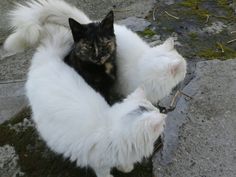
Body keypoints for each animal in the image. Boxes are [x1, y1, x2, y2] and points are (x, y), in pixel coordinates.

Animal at [26, 24, 165, 177]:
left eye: (156, 108)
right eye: (162, 124)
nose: (163, 113)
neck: (110, 132)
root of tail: (48, 59)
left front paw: (126, 167)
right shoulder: (100, 165)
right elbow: (105, 173)